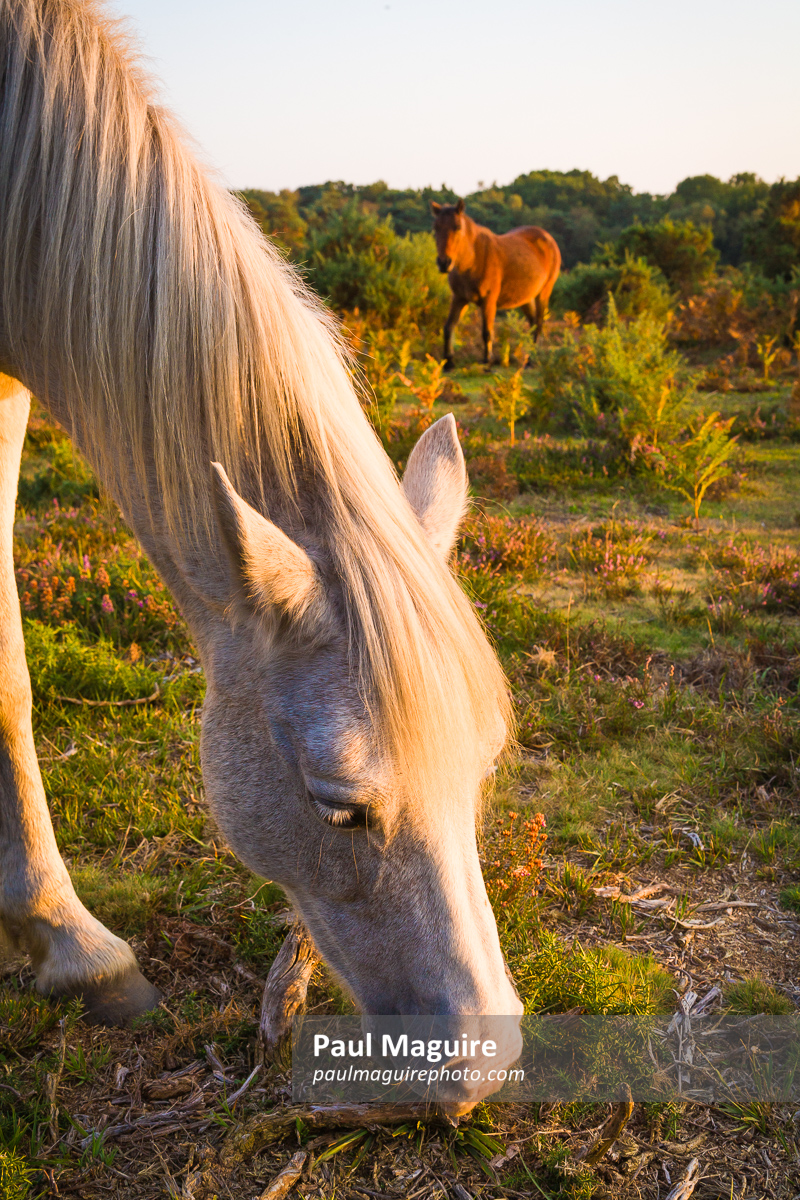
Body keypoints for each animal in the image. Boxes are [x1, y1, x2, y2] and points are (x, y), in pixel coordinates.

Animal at [431, 200, 561, 368]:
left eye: (457, 227)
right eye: (436, 227)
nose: (444, 263)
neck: (472, 260)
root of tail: (548, 238)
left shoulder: (489, 300)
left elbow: (487, 331)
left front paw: (487, 361)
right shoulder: (459, 298)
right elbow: (448, 327)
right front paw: (448, 362)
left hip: (544, 292)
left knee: (538, 323)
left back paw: (531, 360)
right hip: (525, 298)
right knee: (533, 322)